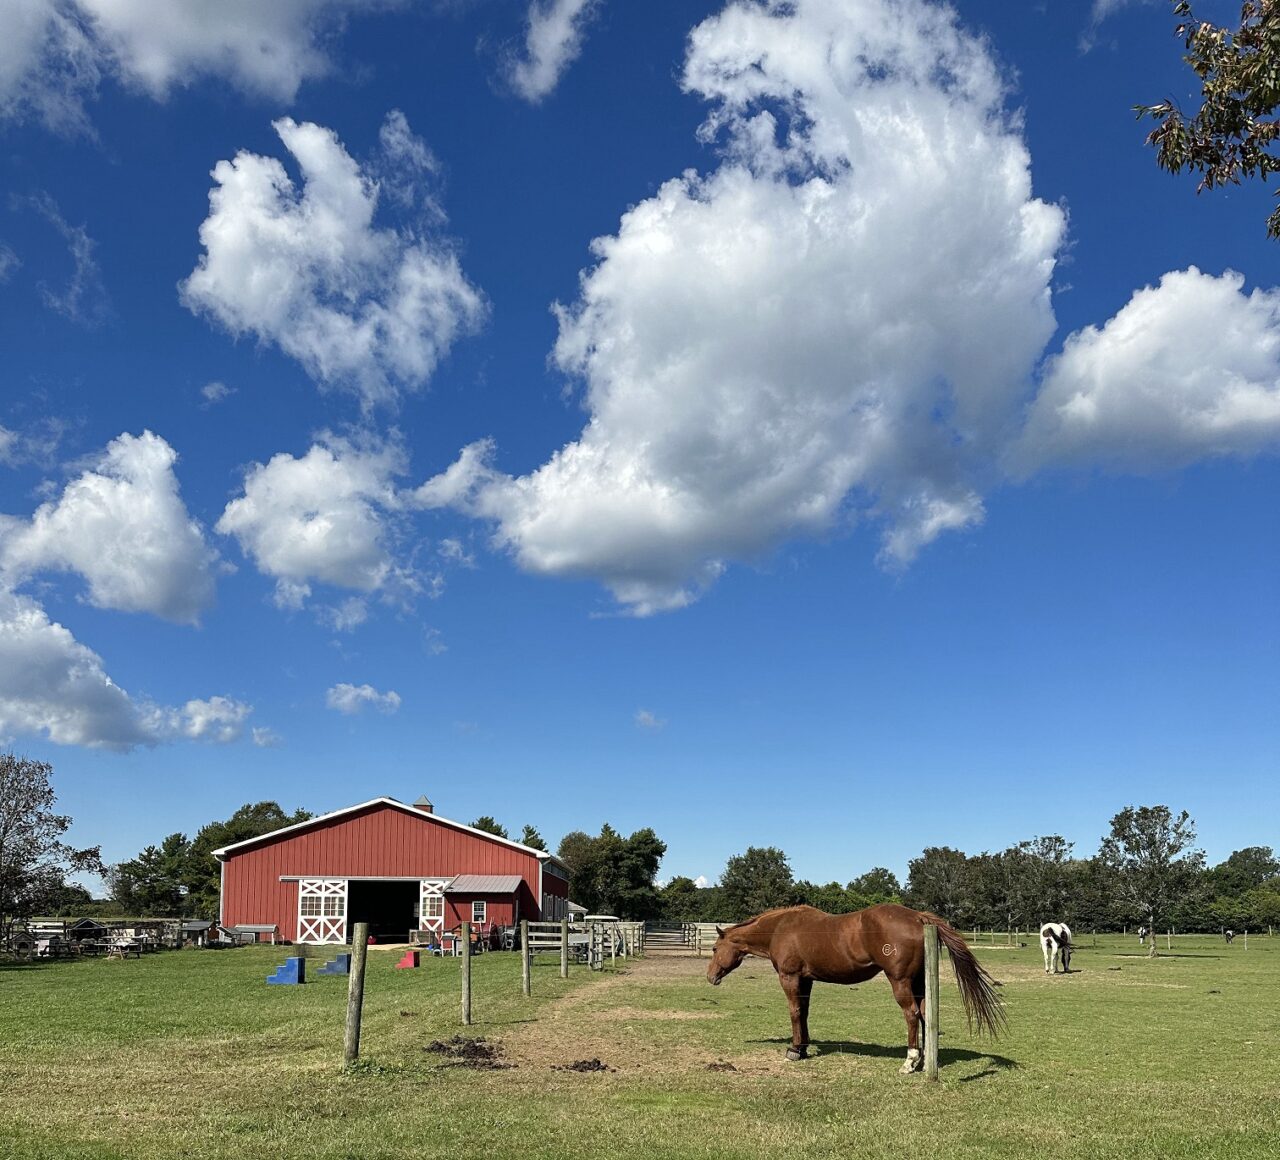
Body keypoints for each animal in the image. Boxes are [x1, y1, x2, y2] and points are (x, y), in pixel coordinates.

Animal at [706, 903, 1004, 1075]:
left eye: (714, 948)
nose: (710, 977)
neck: (781, 927)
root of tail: (918, 917)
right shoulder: (806, 979)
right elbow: (804, 1012)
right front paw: (803, 1048)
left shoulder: (790, 978)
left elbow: (794, 1011)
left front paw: (794, 1050)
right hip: (918, 980)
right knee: (924, 1014)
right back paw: (926, 1058)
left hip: (900, 981)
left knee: (911, 1014)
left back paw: (909, 1062)